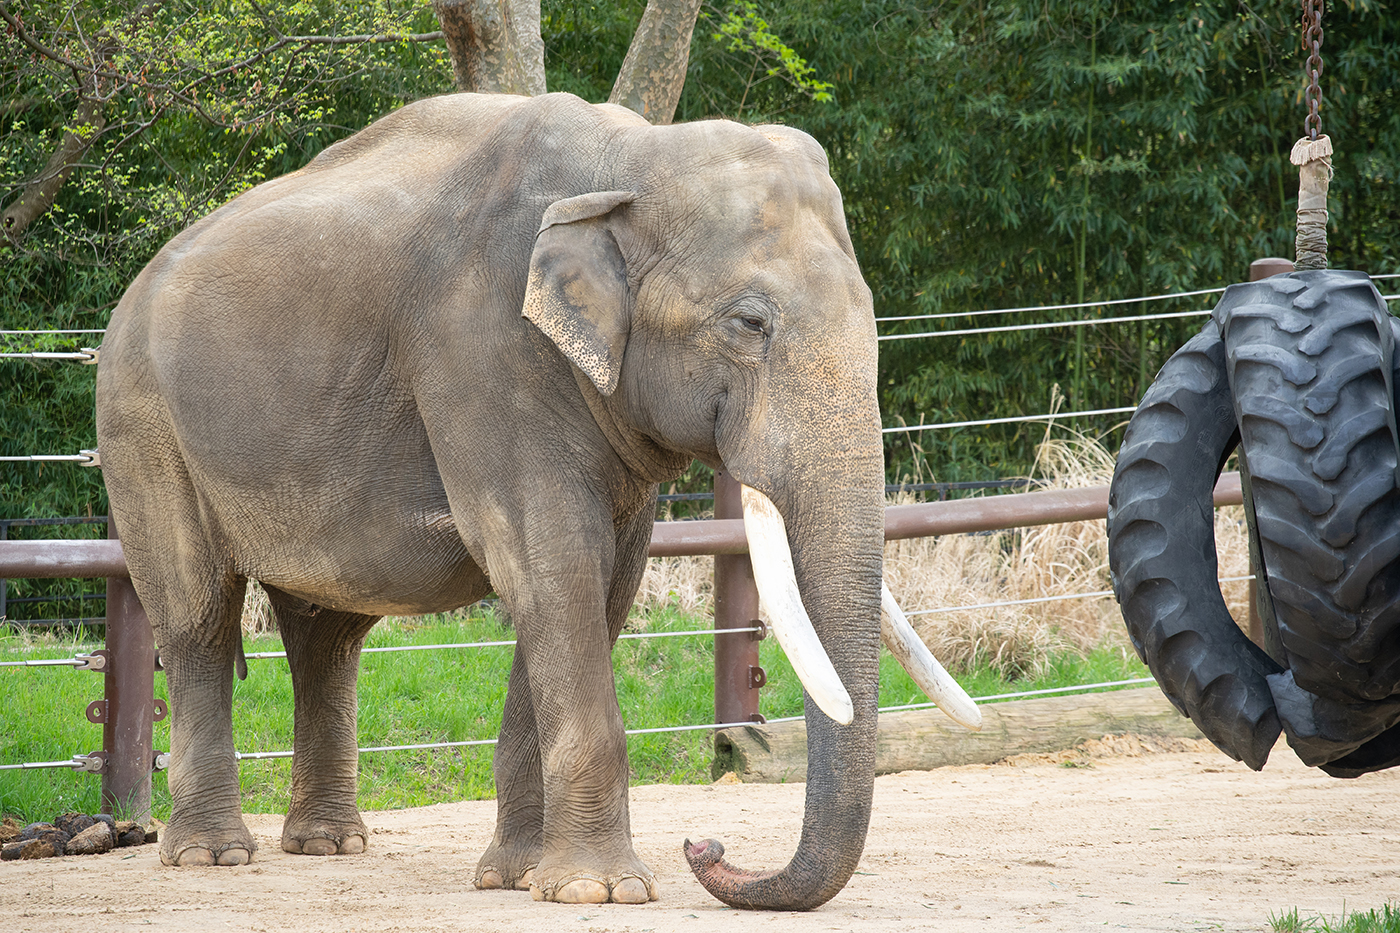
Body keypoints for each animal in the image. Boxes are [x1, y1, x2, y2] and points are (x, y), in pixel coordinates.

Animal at [90, 91, 974, 902]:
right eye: (749, 322)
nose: (706, 844)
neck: (631, 159)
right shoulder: (482, 351)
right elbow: (550, 565)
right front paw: (601, 890)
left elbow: (597, 585)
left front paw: (518, 877)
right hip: (140, 420)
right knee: (198, 616)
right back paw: (211, 855)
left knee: (326, 635)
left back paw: (329, 844)